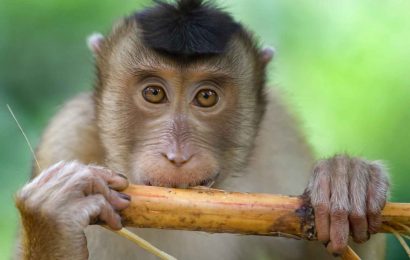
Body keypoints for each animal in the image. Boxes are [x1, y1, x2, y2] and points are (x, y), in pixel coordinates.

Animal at [14, 1, 390, 258]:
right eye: (154, 93)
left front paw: (346, 183)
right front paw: (53, 217)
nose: (177, 156)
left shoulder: (280, 135)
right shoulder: (67, 139)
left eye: (206, 97)